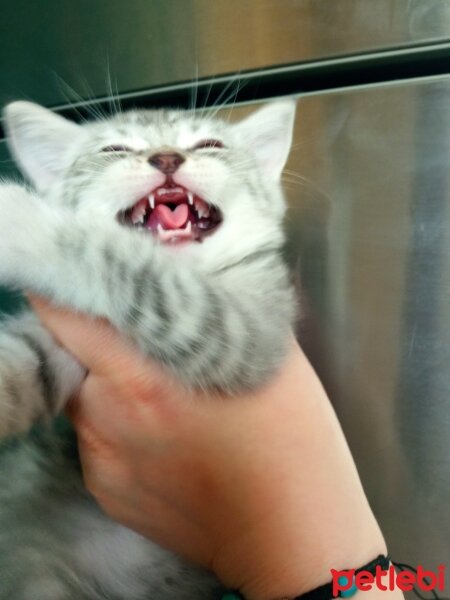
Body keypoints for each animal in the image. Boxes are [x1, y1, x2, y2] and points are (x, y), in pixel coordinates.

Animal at [0, 101, 296, 596]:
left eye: (210, 145)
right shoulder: (55, 345)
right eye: (114, 149)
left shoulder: (248, 331)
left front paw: (22, 221)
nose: (167, 158)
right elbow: (26, 363)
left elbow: (121, 262)